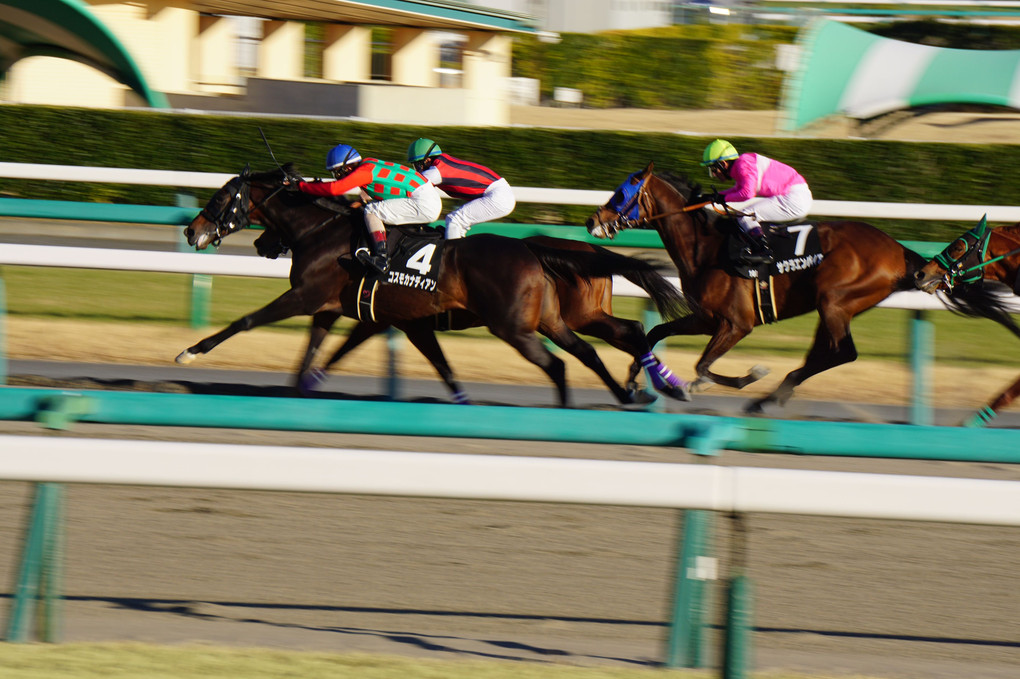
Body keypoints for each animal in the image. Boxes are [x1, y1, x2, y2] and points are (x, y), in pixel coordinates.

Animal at [179, 166, 689, 403]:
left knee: (562, 363)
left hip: (515, 327)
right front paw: (298, 390)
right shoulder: (375, 316)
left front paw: (190, 352)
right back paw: (631, 392)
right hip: (550, 319)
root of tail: (530, 250)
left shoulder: (306, 297)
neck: (324, 233)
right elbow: (320, 355)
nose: (190, 231)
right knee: (592, 349)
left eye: (221, 197)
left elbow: (248, 321)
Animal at [587, 161, 930, 409]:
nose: (592, 222)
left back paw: (769, 396)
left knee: (843, 352)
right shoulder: (706, 319)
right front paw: (635, 383)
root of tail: (899, 250)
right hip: (834, 308)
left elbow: (702, 366)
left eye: (620, 194)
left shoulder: (737, 324)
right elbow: (654, 334)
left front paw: (741, 377)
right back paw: (774, 396)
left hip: (835, 300)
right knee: (825, 352)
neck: (704, 248)